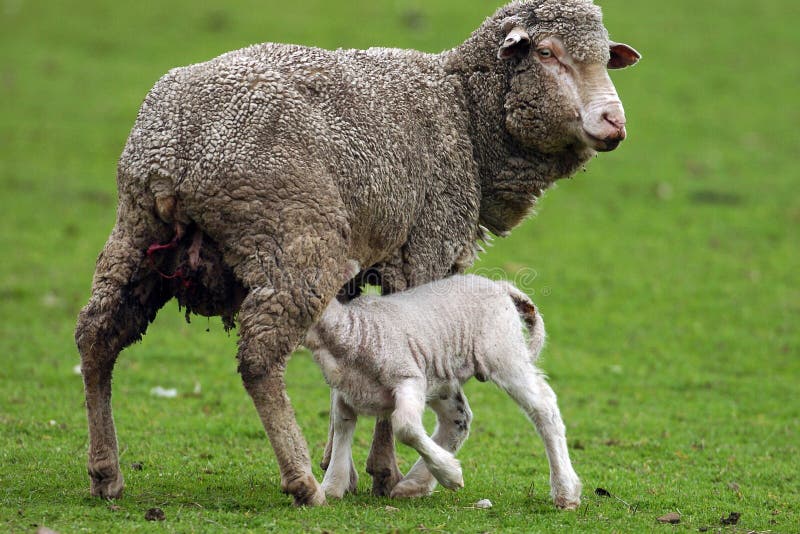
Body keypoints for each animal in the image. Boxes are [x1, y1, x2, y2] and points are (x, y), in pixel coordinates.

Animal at [305, 271, 582, 509]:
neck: (354, 330)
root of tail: (500, 286)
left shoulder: (409, 378)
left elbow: (405, 427)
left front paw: (451, 475)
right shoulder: (344, 394)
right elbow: (342, 427)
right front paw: (331, 486)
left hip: (503, 354)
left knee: (544, 406)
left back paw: (565, 491)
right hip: (441, 377)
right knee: (458, 420)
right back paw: (414, 484)